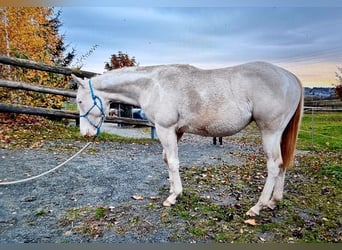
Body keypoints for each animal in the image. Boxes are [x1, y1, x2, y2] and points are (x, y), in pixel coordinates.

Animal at [72, 61, 302, 216]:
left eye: (80, 101)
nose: (86, 134)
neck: (152, 84)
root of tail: (291, 78)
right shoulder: (176, 131)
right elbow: (167, 160)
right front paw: (173, 189)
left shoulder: (165, 129)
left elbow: (173, 162)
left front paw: (173, 196)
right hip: (278, 134)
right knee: (282, 164)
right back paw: (274, 201)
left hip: (270, 132)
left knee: (274, 165)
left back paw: (257, 207)